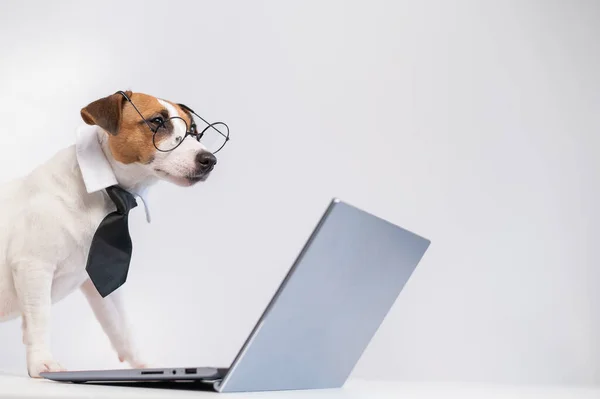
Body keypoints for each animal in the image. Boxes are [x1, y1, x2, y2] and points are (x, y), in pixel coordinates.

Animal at [0, 90, 218, 378]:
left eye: (194, 131)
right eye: (157, 121)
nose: (209, 160)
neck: (100, 193)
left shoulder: (100, 280)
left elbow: (122, 326)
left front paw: (143, 365)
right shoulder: (34, 267)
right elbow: (40, 317)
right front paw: (42, 362)